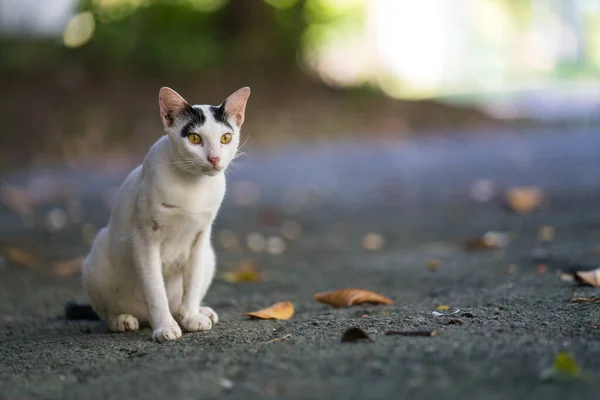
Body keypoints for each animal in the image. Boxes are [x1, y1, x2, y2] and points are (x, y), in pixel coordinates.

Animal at [74, 86, 251, 342]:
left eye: (225, 138)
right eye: (194, 138)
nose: (215, 158)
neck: (192, 185)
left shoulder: (200, 239)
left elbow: (193, 283)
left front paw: (191, 317)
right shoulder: (144, 239)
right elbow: (155, 291)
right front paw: (165, 327)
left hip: (210, 256)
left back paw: (198, 311)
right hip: (95, 261)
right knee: (107, 310)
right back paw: (122, 319)